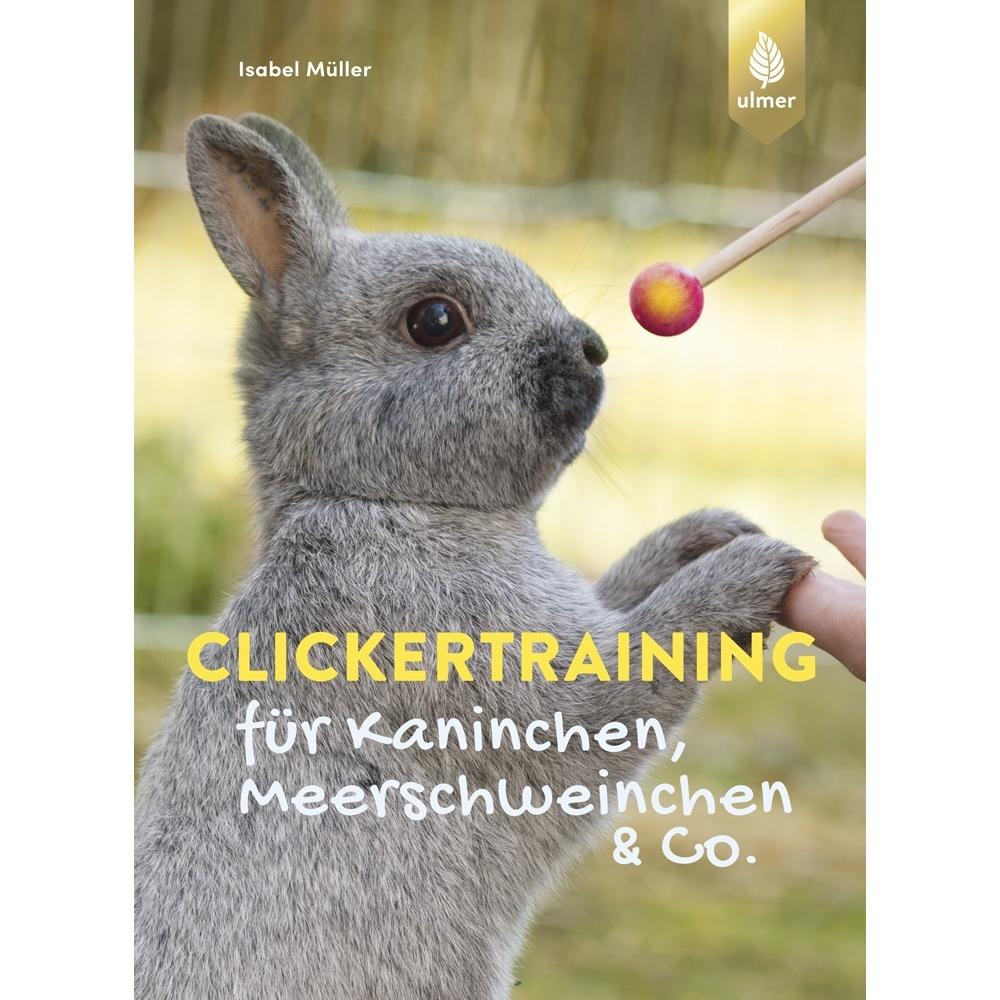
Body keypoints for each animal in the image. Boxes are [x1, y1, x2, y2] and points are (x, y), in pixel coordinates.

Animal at [134, 113, 814, 1000]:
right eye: (435, 321)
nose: (592, 348)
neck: (391, 502)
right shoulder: (532, 694)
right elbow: (645, 656)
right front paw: (747, 571)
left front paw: (709, 534)